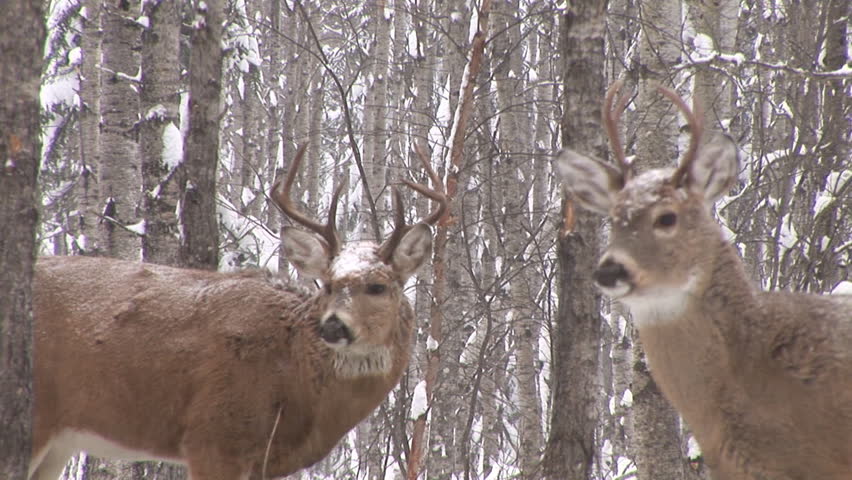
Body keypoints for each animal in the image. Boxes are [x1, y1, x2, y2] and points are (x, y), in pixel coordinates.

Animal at [26, 145, 446, 480]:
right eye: (326, 284)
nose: (333, 326)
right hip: (39, 415)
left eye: (378, 286)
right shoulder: (212, 437)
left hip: (60, 442)